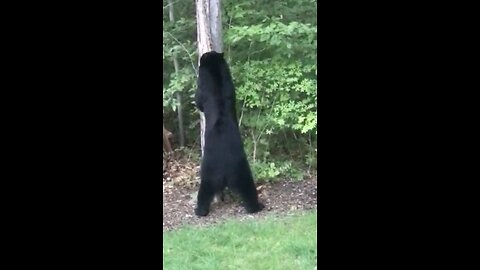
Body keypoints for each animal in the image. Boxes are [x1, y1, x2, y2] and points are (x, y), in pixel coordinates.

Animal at [193, 50, 264, 216]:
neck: (215, 72)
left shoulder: (203, 84)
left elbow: (199, 100)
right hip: (242, 171)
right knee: (248, 189)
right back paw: (256, 207)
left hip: (209, 171)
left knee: (204, 191)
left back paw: (199, 211)